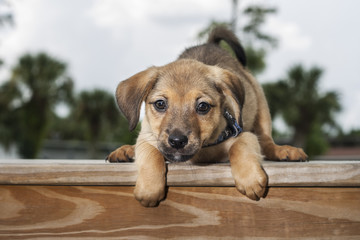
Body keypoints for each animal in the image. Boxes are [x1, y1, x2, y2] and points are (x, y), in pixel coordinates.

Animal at [107, 25, 306, 206]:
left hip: (261, 103)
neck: (202, 152)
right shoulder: (147, 138)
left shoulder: (243, 134)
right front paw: (149, 189)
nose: (177, 141)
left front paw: (249, 178)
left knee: (266, 141)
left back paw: (284, 151)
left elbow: (240, 147)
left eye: (202, 106)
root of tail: (210, 43)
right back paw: (126, 150)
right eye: (160, 104)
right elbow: (151, 154)